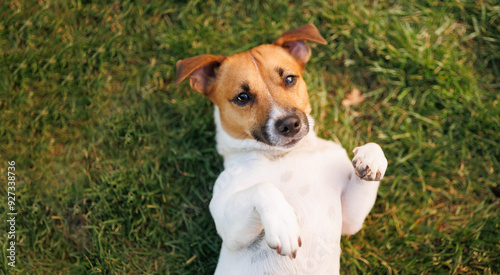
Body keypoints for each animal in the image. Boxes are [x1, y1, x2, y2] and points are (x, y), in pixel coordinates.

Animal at [175, 23, 386, 275]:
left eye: (289, 79)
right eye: (242, 97)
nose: (289, 124)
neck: (285, 155)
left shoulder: (350, 221)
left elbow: (372, 152)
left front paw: (371, 158)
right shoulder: (227, 225)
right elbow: (263, 187)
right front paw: (283, 223)